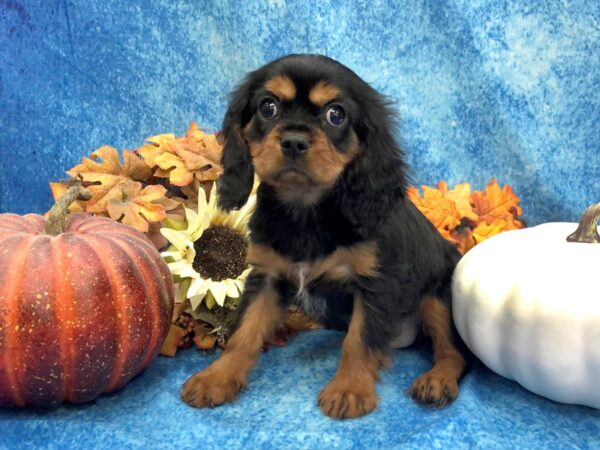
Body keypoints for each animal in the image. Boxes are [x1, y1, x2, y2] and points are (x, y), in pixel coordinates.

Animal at [180, 55, 466, 418]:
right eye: (268, 107)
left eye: (336, 114)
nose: (294, 141)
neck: (306, 208)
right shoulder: (267, 277)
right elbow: (243, 332)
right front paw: (216, 377)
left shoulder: (377, 283)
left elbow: (359, 340)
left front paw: (349, 389)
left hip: (438, 297)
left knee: (453, 351)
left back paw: (437, 380)